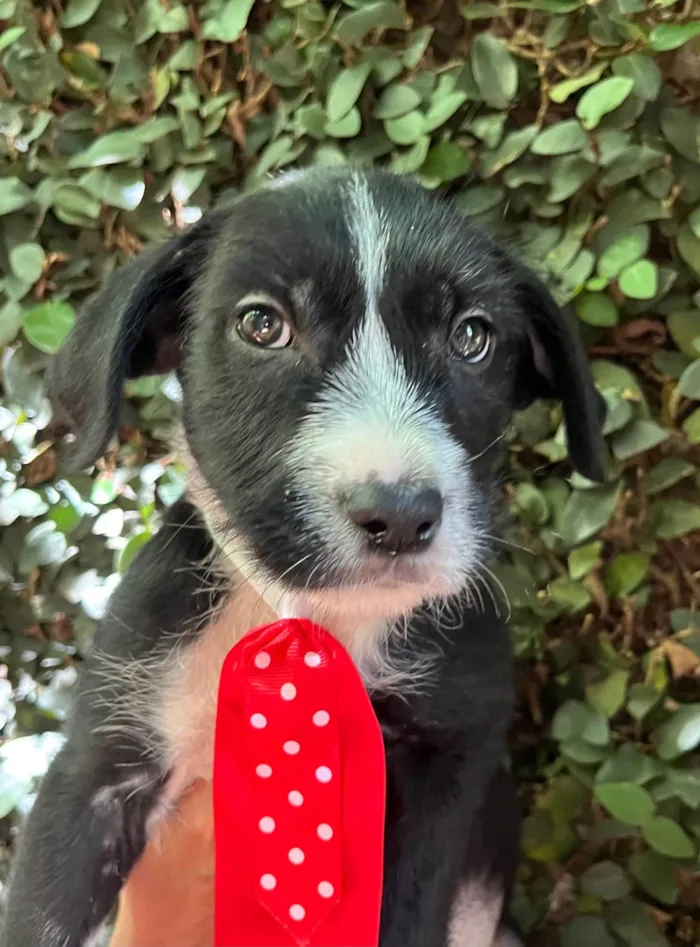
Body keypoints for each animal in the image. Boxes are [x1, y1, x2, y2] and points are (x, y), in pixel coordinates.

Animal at [0, 168, 604, 947]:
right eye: (262, 325)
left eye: (473, 336)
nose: (400, 515)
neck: (316, 621)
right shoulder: (100, 765)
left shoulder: (442, 775)